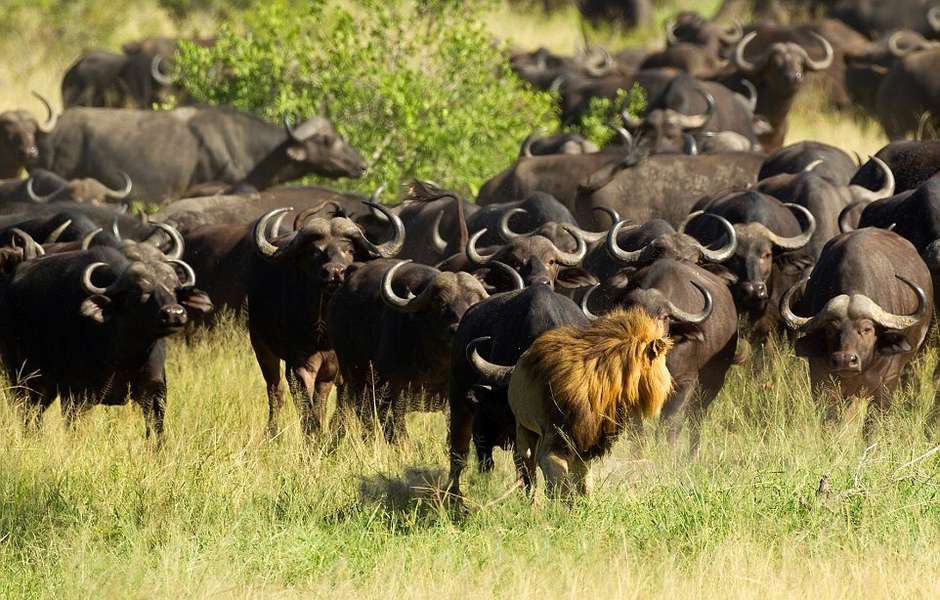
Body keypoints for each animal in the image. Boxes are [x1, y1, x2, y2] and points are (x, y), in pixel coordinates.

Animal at [244, 200, 402, 436]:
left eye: (349, 250)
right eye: (315, 251)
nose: (334, 272)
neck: (322, 333)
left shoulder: (337, 366)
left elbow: (331, 405)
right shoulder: (299, 365)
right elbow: (307, 407)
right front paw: (314, 435)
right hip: (260, 345)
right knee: (275, 392)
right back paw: (272, 432)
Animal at [506, 308, 676, 500]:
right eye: (663, 361)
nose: (669, 377)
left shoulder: (588, 436)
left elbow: (581, 477)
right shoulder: (560, 433)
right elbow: (556, 474)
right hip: (525, 427)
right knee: (528, 465)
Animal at [584, 256, 740, 450]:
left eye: (664, 316)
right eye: (630, 314)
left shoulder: (685, 382)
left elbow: (671, 423)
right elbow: (636, 427)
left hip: (713, 382)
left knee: (696, 419)